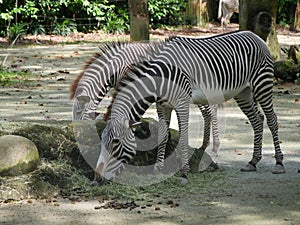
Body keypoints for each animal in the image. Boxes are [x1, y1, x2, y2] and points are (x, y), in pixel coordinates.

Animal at [70, 41, 220, 173]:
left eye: (79, 112)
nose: (76, 133)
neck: (119, 65)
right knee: (207, 112)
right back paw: (204, 145)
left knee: (211, 109)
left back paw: (214, 146)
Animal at [95, 29, 286, 184]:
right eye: (102, 141)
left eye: (116, 143)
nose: (97, 180)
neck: (161, 77)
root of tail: (255, 35)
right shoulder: (162, 106)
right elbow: (162, 137)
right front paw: (157, 169)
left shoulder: (181, 103)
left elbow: (183, 138)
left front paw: (184, 173)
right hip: (243, 93)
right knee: (257, 120)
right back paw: (253, 162)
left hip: (262, 84)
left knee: (272, 120)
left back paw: (278, 163)